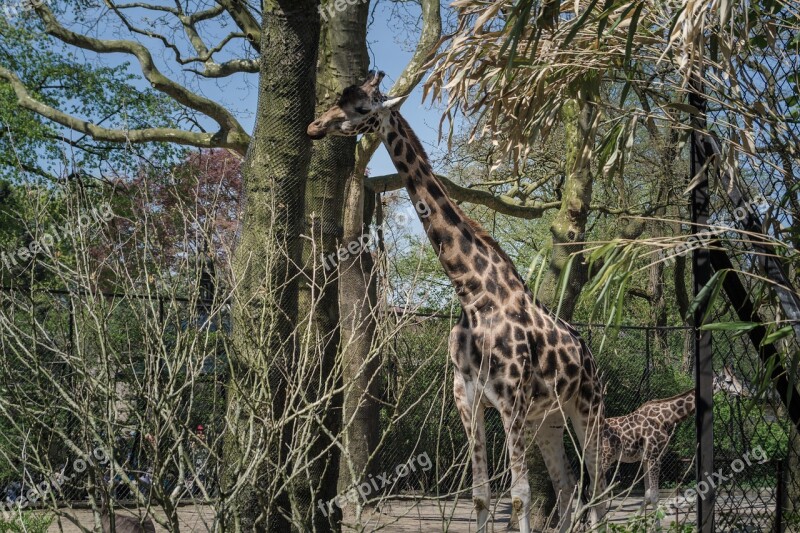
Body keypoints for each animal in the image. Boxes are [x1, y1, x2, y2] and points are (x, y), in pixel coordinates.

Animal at [308, 71, 608, 532]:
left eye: (360, 107)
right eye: (339, 97)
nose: (314, 127)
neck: (475, 296)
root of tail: (587, 352)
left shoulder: (511, 400)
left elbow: (518, 495)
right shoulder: (468, 398)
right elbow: (482, 494)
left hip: (586, 406)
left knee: (599, 488)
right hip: (548, 421)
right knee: (569, 489)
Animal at [608, 368, 744, 524]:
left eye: (736, 377)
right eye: (729, 380)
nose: (743, 391)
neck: (666, 418)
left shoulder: (646, 458)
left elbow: (647, 494)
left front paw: (633, 523)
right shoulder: (655, 456)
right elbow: (654, 495)